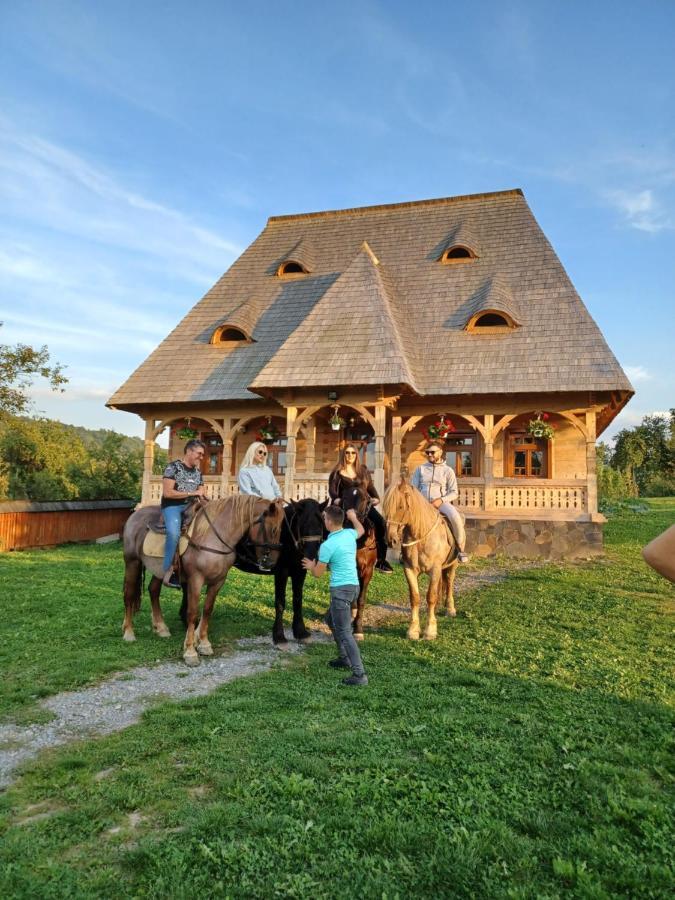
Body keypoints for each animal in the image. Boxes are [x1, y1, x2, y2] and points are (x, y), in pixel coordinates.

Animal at [123, 496, 284, 664]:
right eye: (273, 529)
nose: (271, 563)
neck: (214, 537)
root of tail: (135, 515)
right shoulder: (195, 580)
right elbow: (192, 613)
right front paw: (190, 651)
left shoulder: (218, 581)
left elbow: (207, 610)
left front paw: (204, 644)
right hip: (132, 563)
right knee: (129, 595)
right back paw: (128, 633)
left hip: (159, 570)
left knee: (153, 590)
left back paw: (161, 628)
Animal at [380, 478, 460, 640]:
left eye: (400, 506)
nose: (391, 540)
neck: (421, 536)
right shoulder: (409, 570)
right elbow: (415, 597)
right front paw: (413, 630)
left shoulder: (435, 570)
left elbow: (431, 597)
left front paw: (430, 630)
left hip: (452, 565)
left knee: (449, 583)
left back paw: (450, 609)